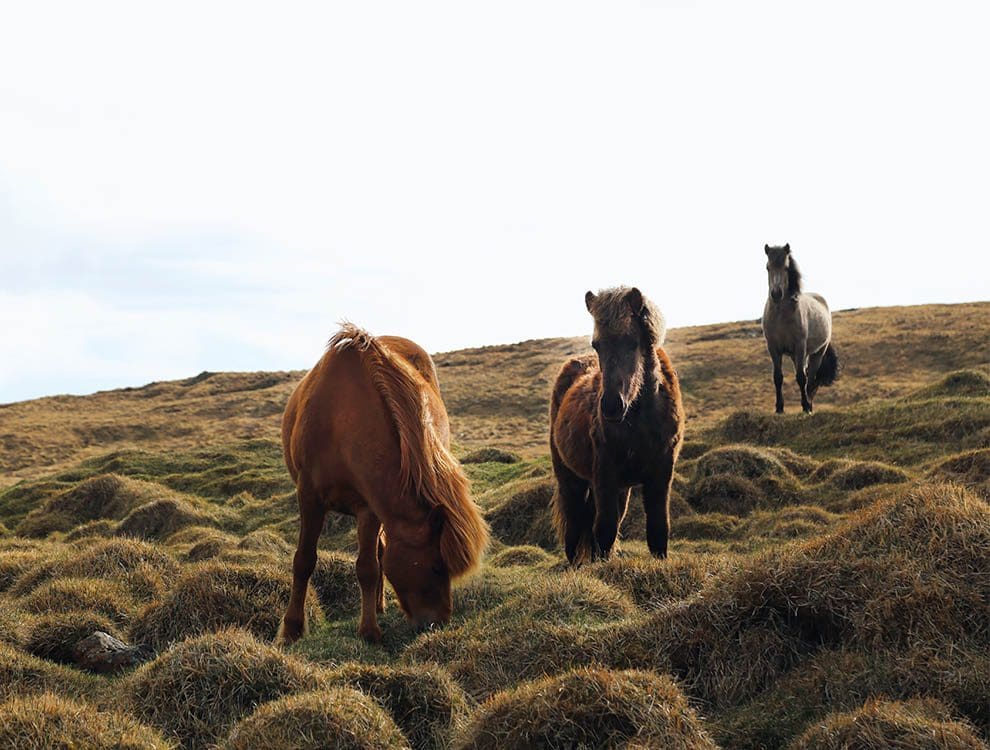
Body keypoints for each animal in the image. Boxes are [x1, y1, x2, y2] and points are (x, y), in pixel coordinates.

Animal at [280, 324, 488, 648]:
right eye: (436, 566)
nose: (439, 622)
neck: (341, 420)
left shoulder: (368, 507)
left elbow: (368, 567)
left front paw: (369, 630)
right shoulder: (309, 497)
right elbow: (304, 561)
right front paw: (292, 629)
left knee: (378, 553)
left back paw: (377, 606)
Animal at [552, 288, 680, 564]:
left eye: (633, 342)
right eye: (597, 345)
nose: (611, 406)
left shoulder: (661, 473)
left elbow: (658, 529)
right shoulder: (605, 474)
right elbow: (605, 530)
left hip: (619, 488)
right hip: (570, 478)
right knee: (574, 526)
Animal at [764, 245, 840, 414]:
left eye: (786, 268)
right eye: (767, 267)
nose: (776, 294)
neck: (781, 315)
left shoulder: (799, 346)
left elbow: (801, 378)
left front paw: (805, 406)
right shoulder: (773, 348)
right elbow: (777, 377)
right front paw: (779, 408)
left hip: (816, 353)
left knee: (810, 379)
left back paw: (809, 405)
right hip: (797, 355)